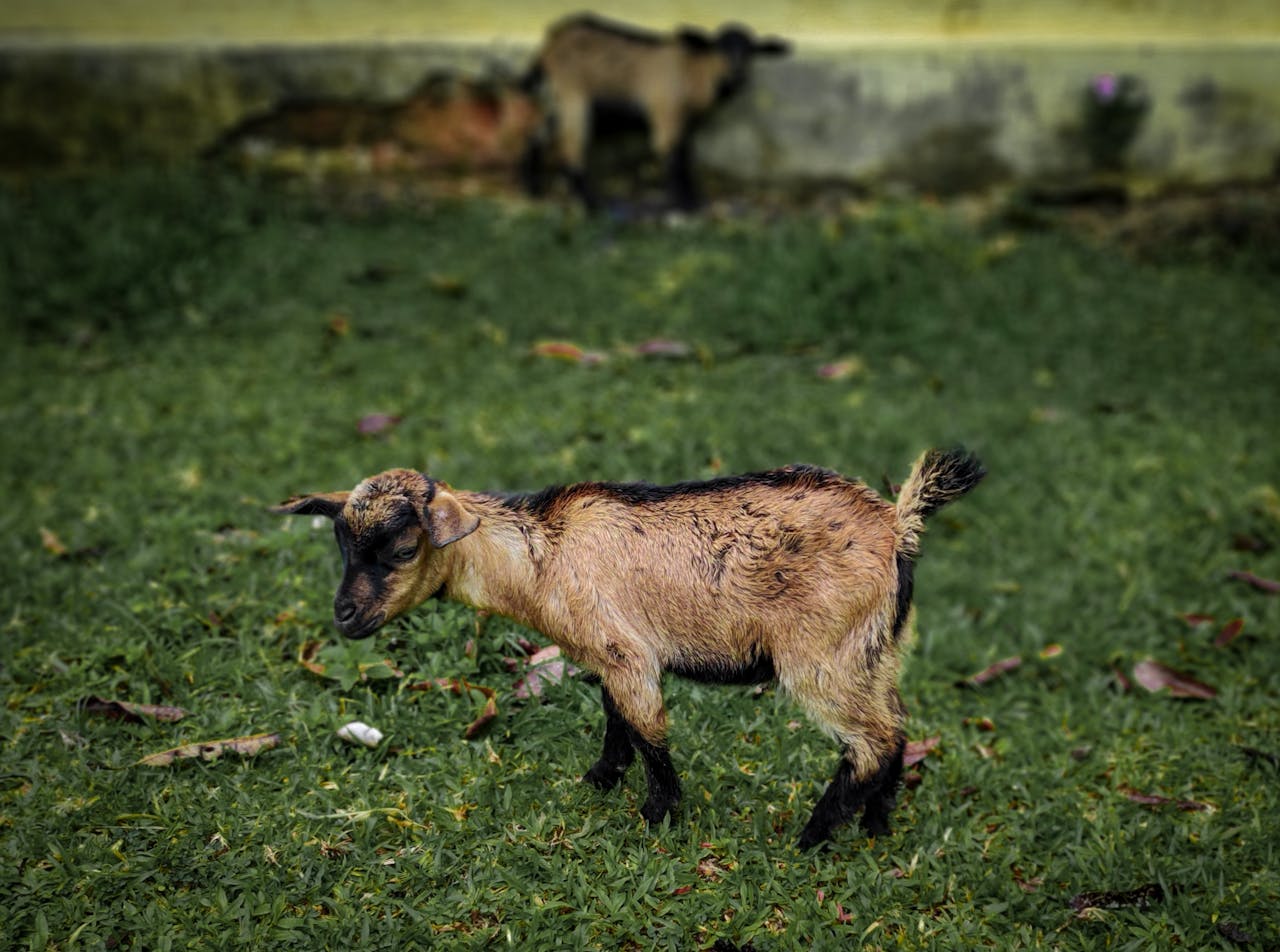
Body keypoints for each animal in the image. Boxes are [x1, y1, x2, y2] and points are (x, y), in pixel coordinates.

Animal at [274, 448, 984, 848]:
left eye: (399, 549)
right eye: (341, 545)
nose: (344, 617)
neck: (540, 558)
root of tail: (898, 525)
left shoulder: (627, 653)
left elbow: (648, 730)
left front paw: (657, 815)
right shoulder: (605, 654)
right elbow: (617, 720)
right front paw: (600, 780)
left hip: (822, 655)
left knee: (871, 741)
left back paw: (812, 837)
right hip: (876, 649)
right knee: (897, 727)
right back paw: (876, 824)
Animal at [519, 13, 789, 210]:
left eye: (752, 49)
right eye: (718, 47)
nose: (738, 74)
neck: (692, 71)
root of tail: (548, 46)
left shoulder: (685, 119)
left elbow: (685, 153)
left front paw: (694, 199)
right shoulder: (664, 109)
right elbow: (672, 155)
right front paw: (683, 204)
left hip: (559, 99)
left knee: (536, 136)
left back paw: (533, 189)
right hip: (573, 94)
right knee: (569, 147)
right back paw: (592, 204)